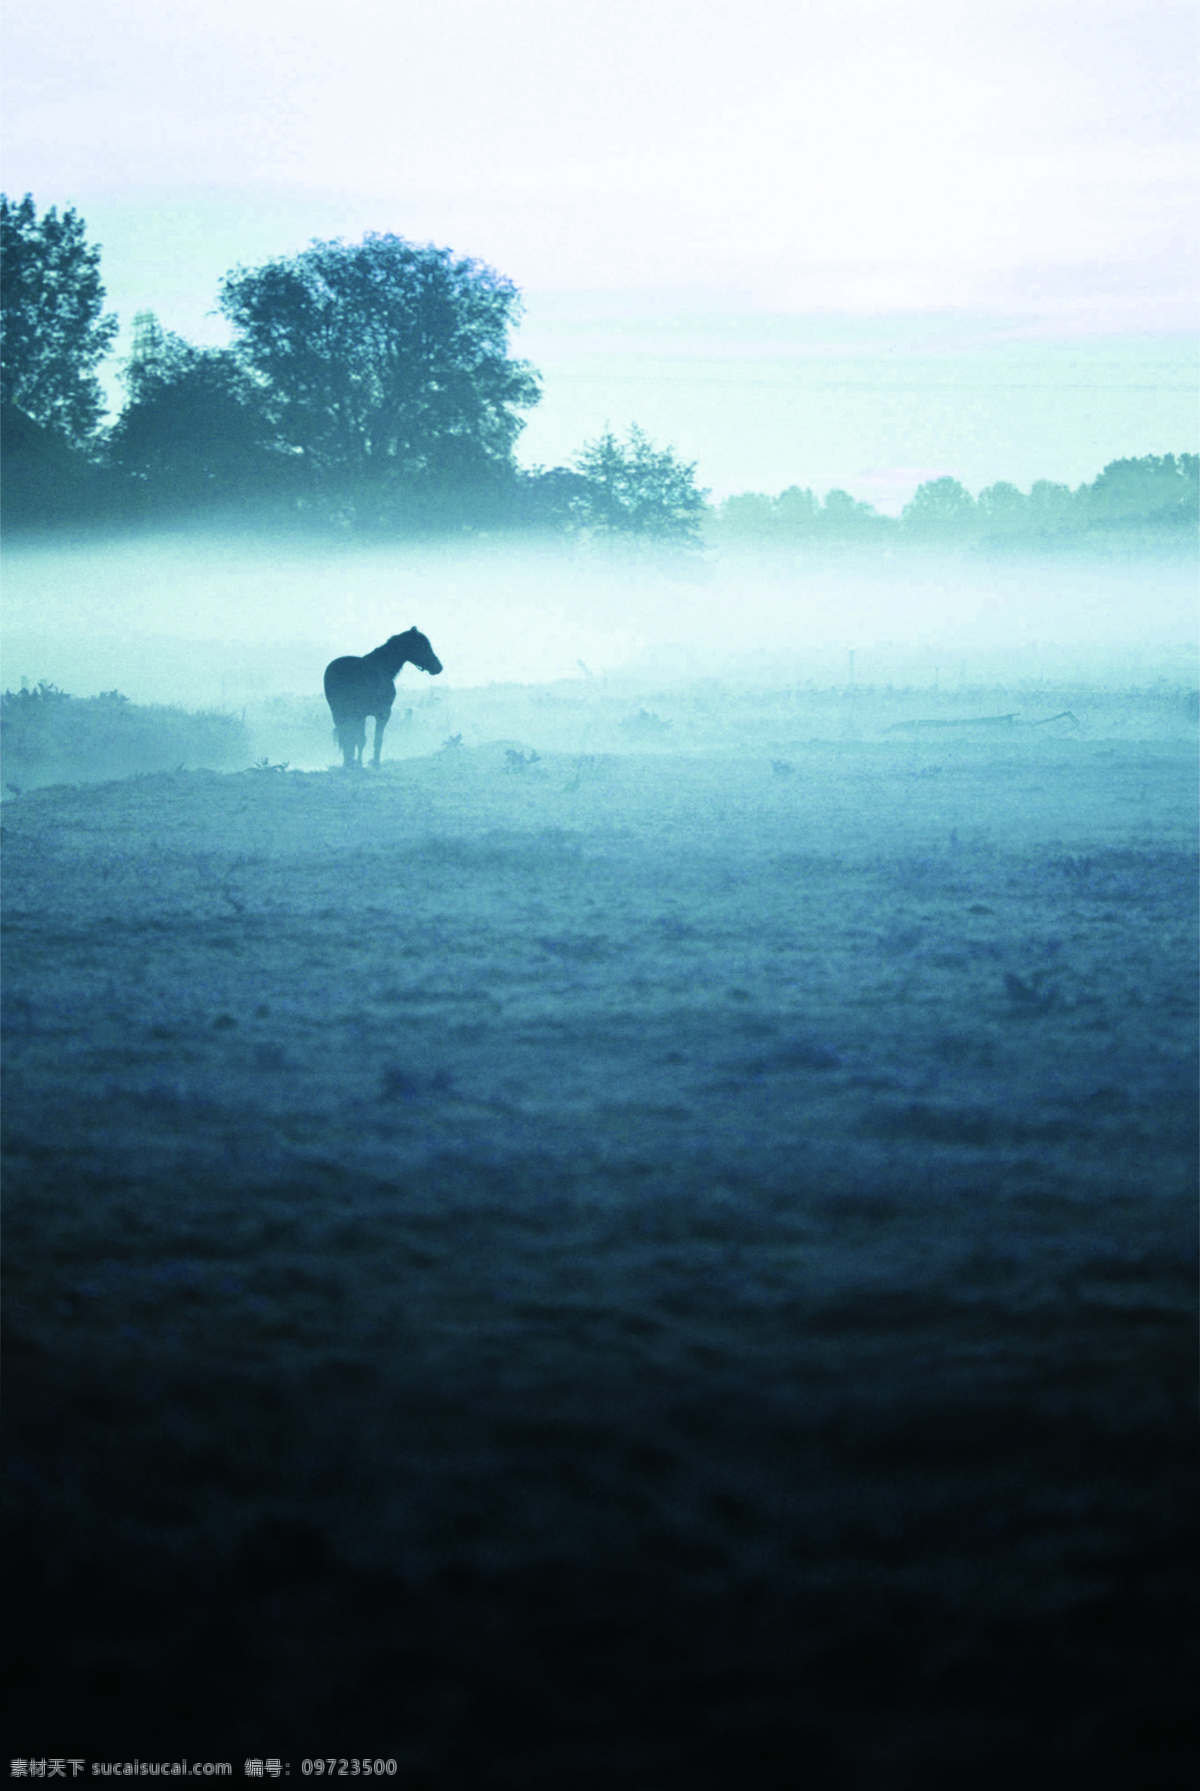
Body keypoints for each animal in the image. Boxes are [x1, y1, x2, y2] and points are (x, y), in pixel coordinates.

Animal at [324, 626, 442, 766]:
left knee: (347, 737)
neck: (382, 667)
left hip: (340, 713)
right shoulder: (382, 714)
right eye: (424, 646)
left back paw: (349, 762)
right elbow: (375, 740)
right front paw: (374, 764)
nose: (438, 667)